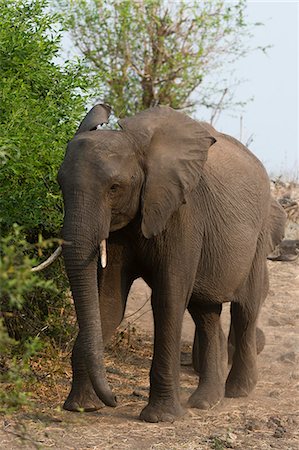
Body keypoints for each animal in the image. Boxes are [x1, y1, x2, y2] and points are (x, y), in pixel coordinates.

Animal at [58, 104, 286, 422]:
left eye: (114, 187)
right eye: (60, 184)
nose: (114, 399)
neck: (139, 148)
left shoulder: (184, 213)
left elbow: (168, 298)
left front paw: (160, 418)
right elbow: (109, 302)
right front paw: (81, 406)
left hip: (259, 237)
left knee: (245, 309)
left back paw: (238, 391)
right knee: (205, 312)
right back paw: (205, 402)